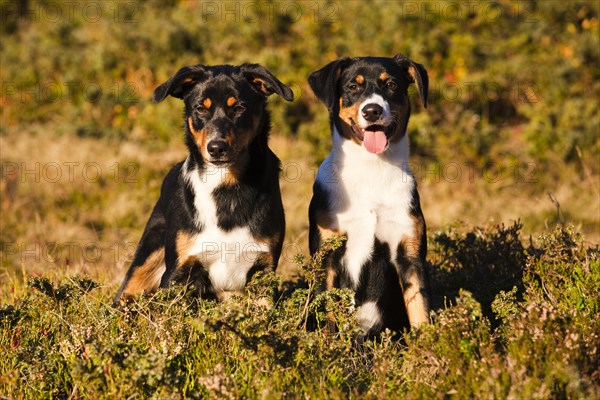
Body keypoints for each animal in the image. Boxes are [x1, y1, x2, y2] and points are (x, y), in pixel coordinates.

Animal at [113, 64, 294, 304]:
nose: (216, 147)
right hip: (144, 263)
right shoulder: (178, 271)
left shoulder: (263, 268)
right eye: (200, 108)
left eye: (239, 108)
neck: (225, 186)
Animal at [310, 54, 432, 336]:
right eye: (353, 87)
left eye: (392, 85)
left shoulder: (409, 256)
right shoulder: (326, 257)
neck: (372, 170)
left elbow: (420, 314)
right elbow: (325, 321)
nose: (372, 111)